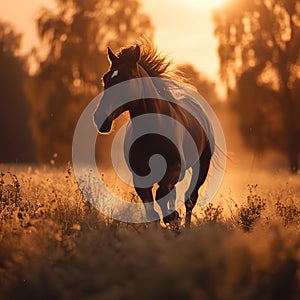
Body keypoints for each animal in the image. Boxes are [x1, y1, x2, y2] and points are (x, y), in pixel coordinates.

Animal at [94, 39, 213, 227]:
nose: (100, 117)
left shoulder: (174, 168)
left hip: (202, 165)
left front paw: (173, 217)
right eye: (105, 78)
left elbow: (162, 195)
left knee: (190, 199)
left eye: (126, 78)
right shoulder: (141, 178)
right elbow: (151, 208)